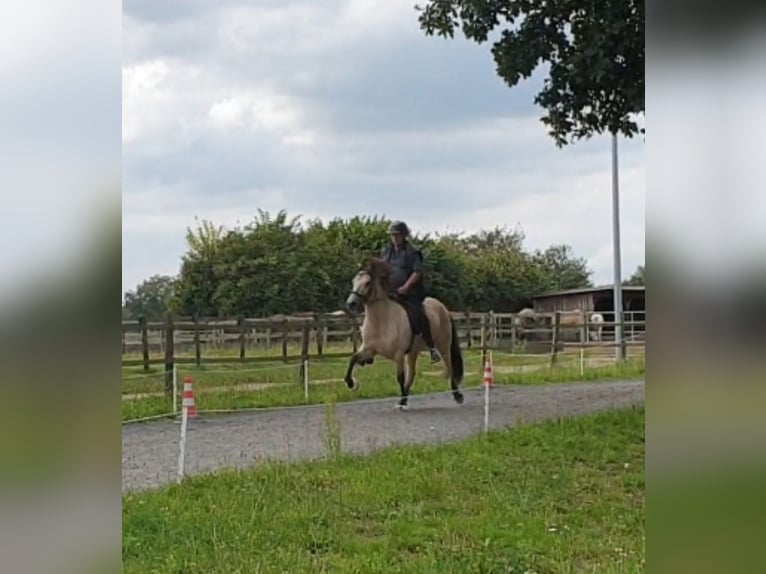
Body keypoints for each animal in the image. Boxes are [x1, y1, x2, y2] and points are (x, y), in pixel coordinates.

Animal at [344, 256, 464, 410]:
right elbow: (353, 359)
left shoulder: (399, 354)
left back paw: (457, 395)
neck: (382, 321)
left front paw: (400, 401)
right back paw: (405, 398)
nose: (351, 304)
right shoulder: (369, 349)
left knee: (450, 368)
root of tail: (442, 307)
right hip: (413, 352)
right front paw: (352, 383)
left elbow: (399, 377)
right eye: (354, 281)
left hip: (443, 346)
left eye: (368, 282)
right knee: (412, 374)